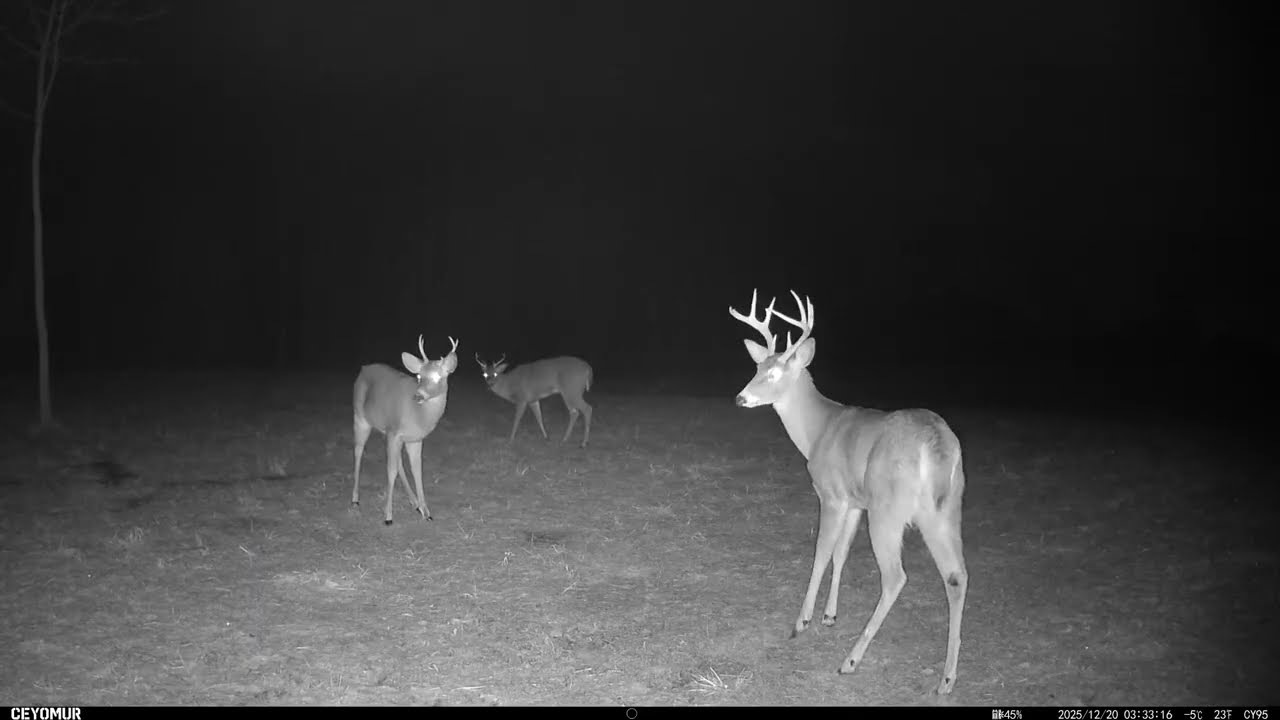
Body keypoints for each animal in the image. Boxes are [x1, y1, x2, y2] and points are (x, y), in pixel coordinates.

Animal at [352, 334, 459, 525]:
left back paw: (414, 503)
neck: (418, 415)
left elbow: (417, 470)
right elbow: (391, 471)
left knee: (398, 462)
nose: (418, 395)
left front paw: (427, 512)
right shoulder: (394, 431)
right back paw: (355, 499)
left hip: (388, 433)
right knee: (358, 451)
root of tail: (363, 369)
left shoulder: (414, 438)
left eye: (439, 376)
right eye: (419, 376)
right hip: (360, 417)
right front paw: (388, 516)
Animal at [729, 289, 969, 695]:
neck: (817, 430)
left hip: (890, 510)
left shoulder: (831, 494)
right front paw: (829, 615)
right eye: (757, 368)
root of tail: (937, 444)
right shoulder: (857, 502)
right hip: (946, 508)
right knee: (958, 575)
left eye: (773, 373)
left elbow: (822, 552)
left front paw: (802, 621)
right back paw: (947, 679)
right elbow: (841, 553)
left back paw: (850, 660)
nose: (741, 399)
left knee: (896, 576)